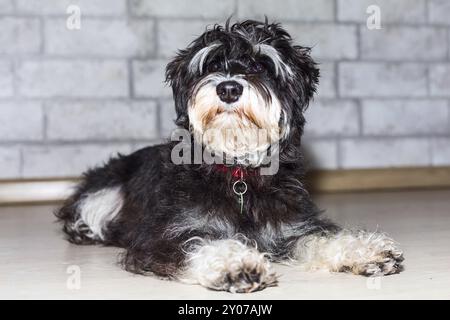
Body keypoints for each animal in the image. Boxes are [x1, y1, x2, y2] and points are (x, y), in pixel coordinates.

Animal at [55, 20, 404, 294]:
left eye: (261, 65)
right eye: (211, 66)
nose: (229, 88)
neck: (238, 173)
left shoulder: (292, 226)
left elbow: (322, 237)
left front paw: (366, 251)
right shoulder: (162, 235)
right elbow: (197, 243)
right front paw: (234, 264)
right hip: (102, 195)